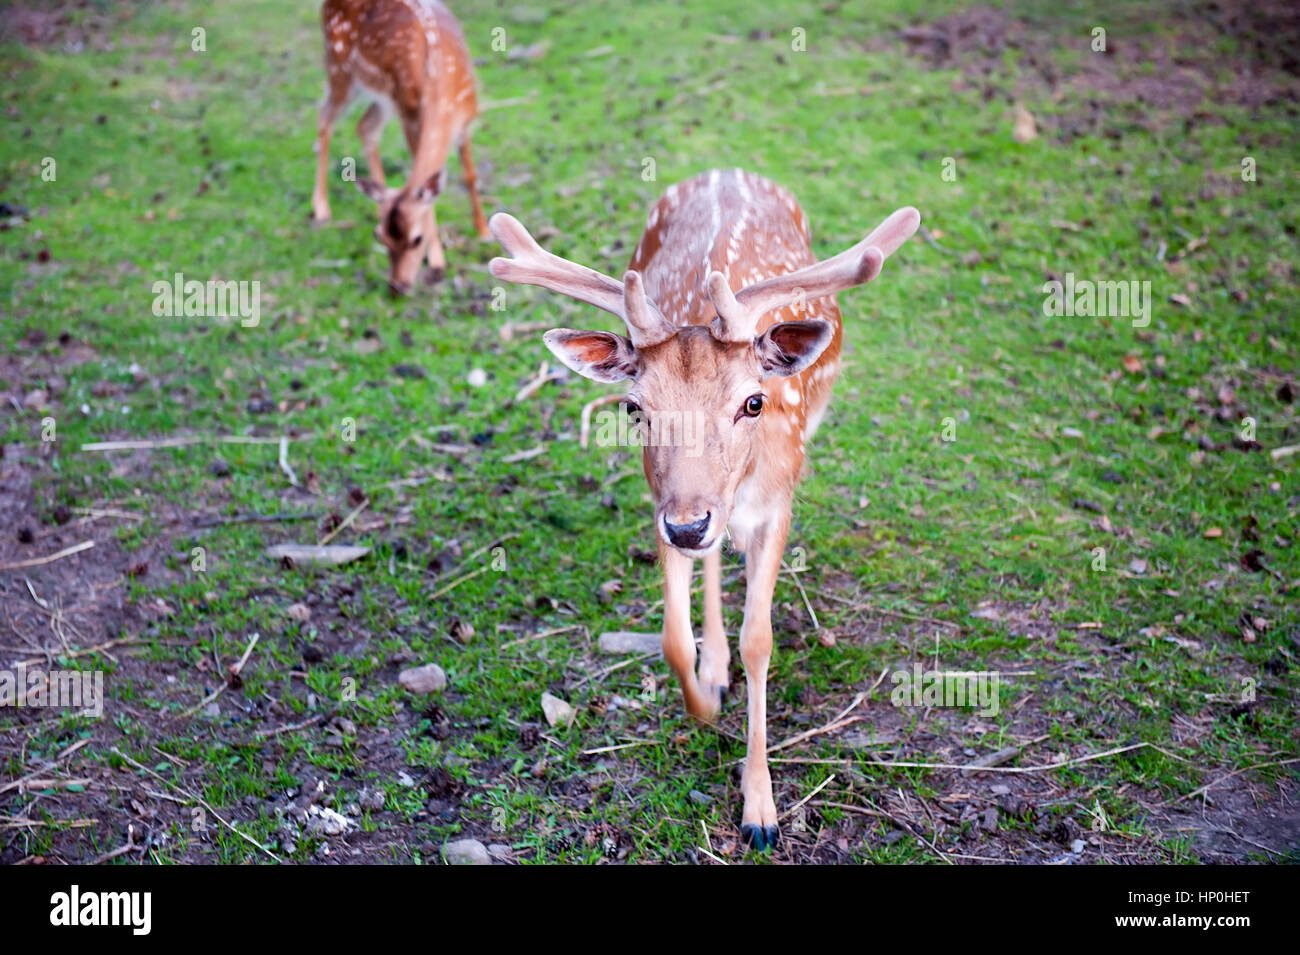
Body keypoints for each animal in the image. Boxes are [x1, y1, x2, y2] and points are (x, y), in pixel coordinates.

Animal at [311, 0, 490, 295]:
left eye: (416, 239)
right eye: (380, 237)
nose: (397, 286)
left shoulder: (467, 118)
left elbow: (470, 175)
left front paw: (483, 230)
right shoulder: (411, 115)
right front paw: (438, 260)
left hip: (381, 95)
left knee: (365, 126)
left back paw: (377, 197)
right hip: (339, 67)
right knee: (325, 119)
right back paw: (321, 208)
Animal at [489, 169, 919, 851]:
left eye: (753, 401)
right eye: (633, 406)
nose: (690, 523)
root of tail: (727, 171)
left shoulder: (778, 504)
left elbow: (760, 639)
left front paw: (761, 811)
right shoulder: (658, 504)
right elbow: (671, 637)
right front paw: (707, 703)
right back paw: (713, 663)